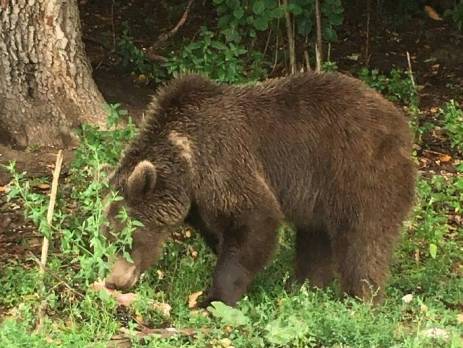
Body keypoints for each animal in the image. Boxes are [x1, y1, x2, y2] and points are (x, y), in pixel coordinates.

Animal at [103, 72, 418, 306]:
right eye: (105, 236)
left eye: (125, 238)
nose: (115, 281)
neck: (186, 160)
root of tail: (400, 122)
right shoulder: (199, 199)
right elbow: (221, 233)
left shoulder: (224, 161)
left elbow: (254, 221)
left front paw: (216, 298)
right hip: (318, 193)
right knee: (315, 238)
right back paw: (303, 286)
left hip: (358, 171)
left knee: (363, 239)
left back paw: (359, 297)